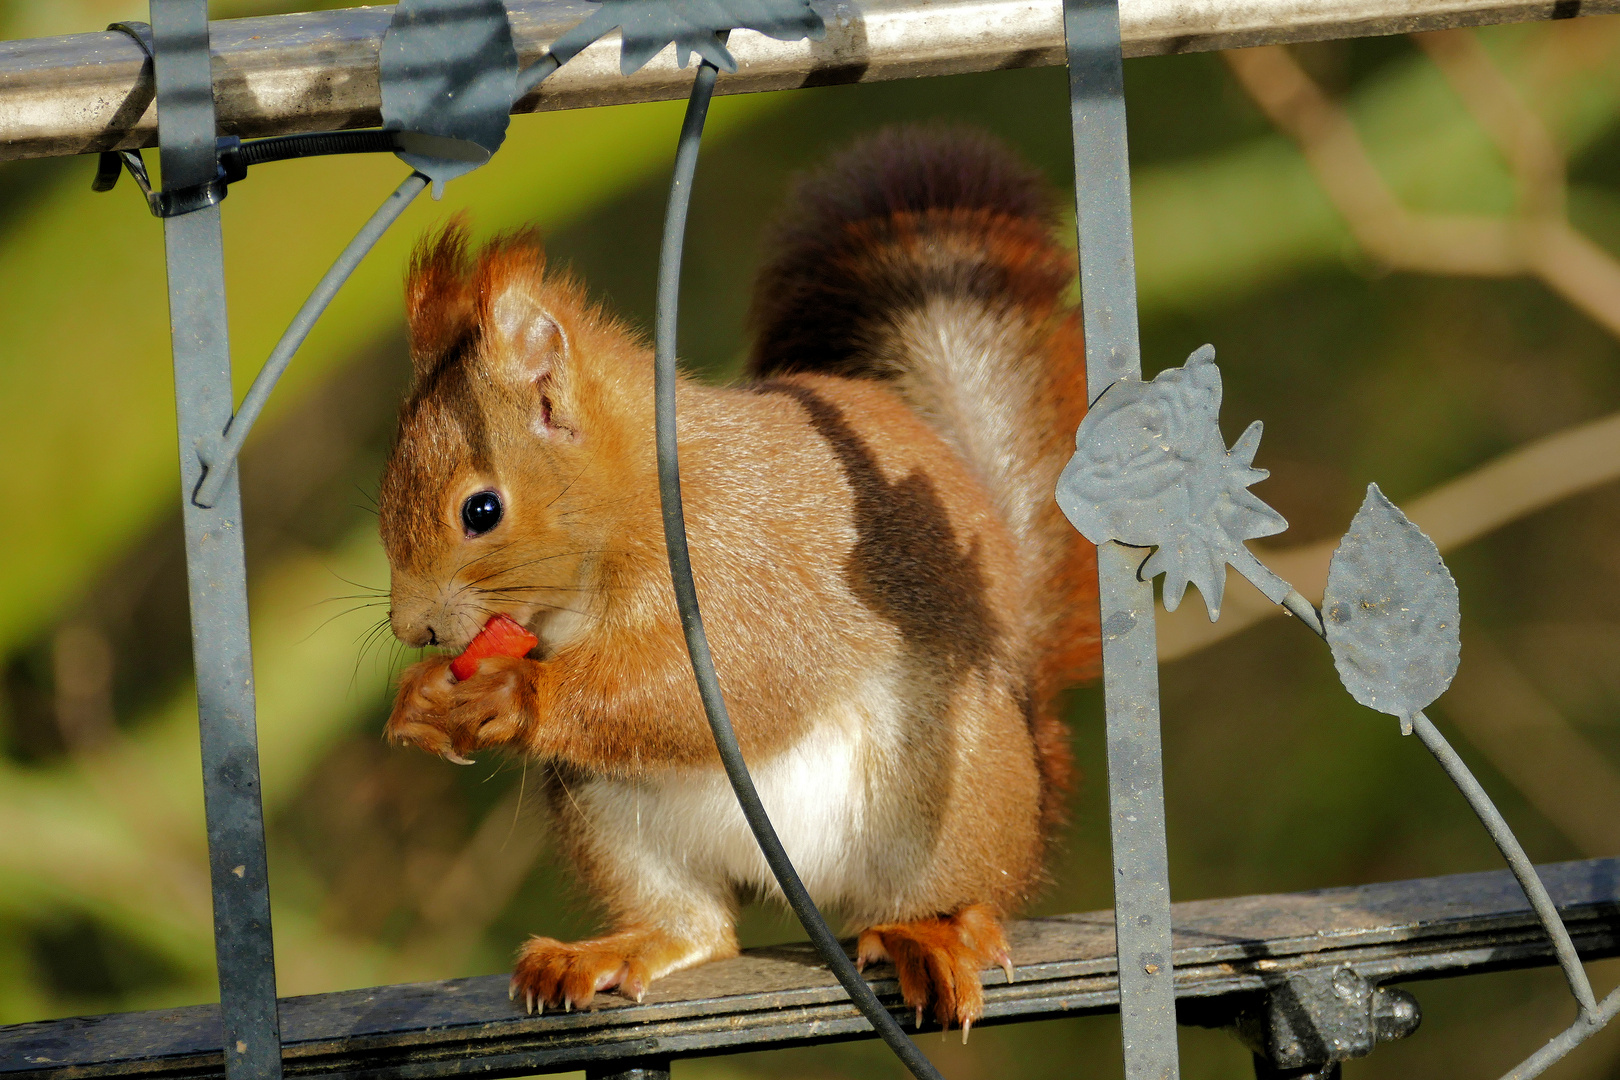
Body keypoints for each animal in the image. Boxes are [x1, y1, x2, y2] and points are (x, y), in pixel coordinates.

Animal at [379, 127, 1101, 1029]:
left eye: (482, 510)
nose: (411, 629)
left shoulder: (752, 570)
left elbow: (724, 683)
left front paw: (512, 693)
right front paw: (422, 698)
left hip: (952, 784)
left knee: (955, 891)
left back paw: (932, 933)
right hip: (610, 811)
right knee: (697, 925)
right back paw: (616, 949)